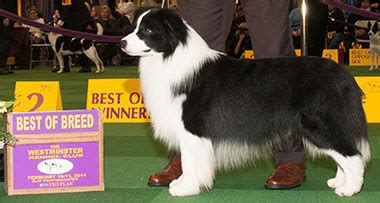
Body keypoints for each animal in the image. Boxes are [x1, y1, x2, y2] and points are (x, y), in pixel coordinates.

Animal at [121, 9, 372, 197]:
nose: (122, 43)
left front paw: (185, 188)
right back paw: (339, 182)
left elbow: (191, 161)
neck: (170, 57)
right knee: (344, 153)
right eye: (135, 27)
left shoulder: (193, 129)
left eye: (148, 30)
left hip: (320, 124)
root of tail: (343, 74)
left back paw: (349, 189)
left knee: (353, 156)